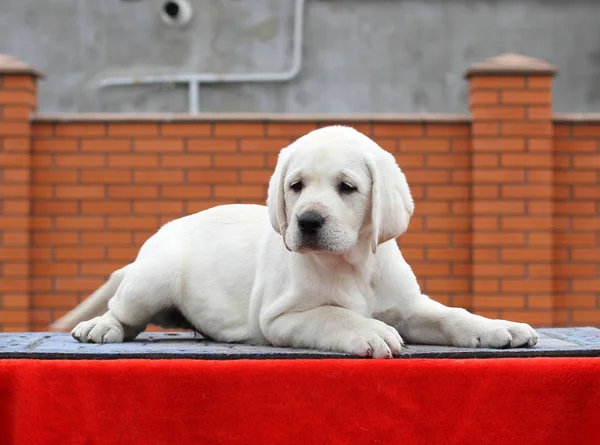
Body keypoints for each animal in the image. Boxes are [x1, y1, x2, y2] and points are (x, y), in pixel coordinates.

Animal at [51, 124, 540, 358]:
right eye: (296, 186)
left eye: (347, 187)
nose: (306, 221)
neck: (353, 265)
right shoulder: (282, 317)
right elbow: (334, 315)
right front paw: (368, 330)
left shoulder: (409, 307)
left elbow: (450, 315)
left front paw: (497, 327)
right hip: (152, 279)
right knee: (125, 314)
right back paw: (101, 326)